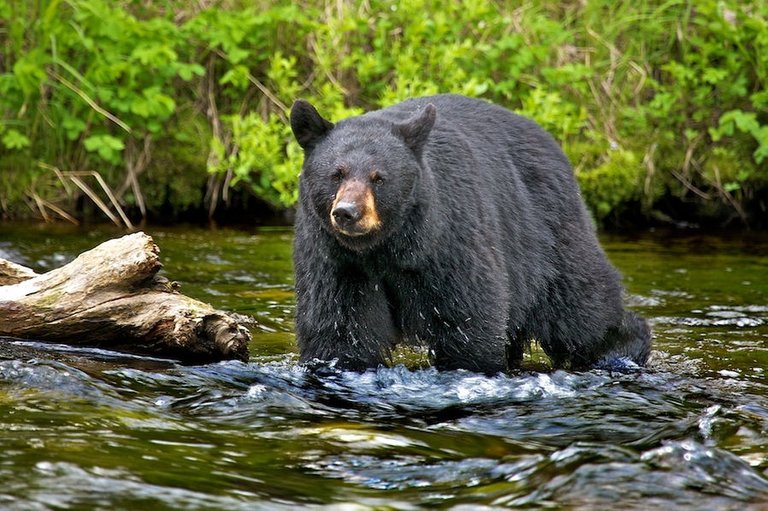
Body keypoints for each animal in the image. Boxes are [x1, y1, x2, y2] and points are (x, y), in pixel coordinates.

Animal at [292, 95, 652, 376]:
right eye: (336, 174)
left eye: (378, 177)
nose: (347, 212)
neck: (388, 248)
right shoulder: (337, 261)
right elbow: (340, 327)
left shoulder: (448, 241)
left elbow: (468, 317)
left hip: (548, 234)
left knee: (581, 308)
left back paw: (620, 349)